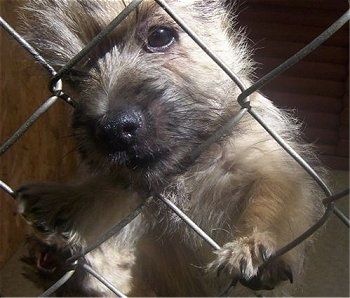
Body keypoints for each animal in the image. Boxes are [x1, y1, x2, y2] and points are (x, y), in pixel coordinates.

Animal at [15, 0, 324, 296]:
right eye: (74, 76)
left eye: (160, 36)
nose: (112, 130)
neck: (186, 168)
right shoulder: (132, 194)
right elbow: (102, 192)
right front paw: (62, 198)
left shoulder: (268, 162)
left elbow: (274, 200)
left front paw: (255, 243)